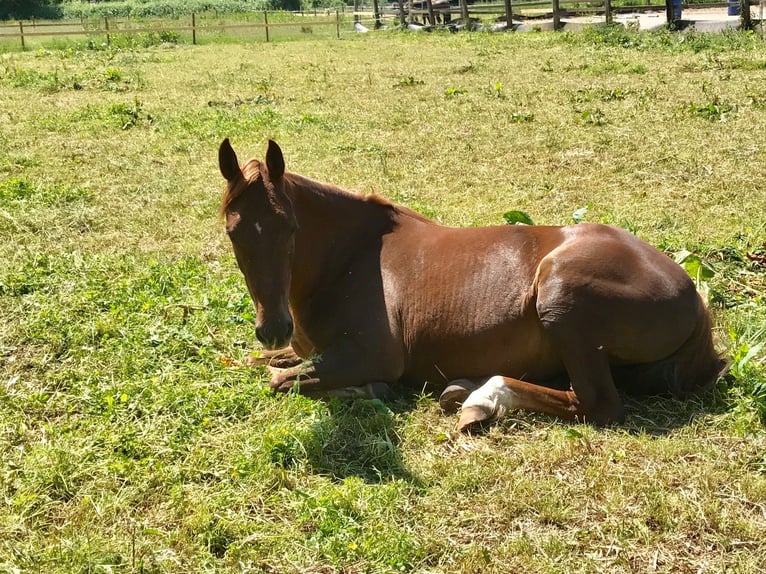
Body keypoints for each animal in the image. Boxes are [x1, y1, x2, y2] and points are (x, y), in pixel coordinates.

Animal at [218, 139, 724, 432]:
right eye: (232, 231)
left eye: (290, 228)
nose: (273, 328)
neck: (348, 258)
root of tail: (694, 301)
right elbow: (265, 364)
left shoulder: (371, 353)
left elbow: (280, 380)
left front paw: (370, 389)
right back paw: (464, 389)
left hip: (562, 298)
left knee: (595, 403)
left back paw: (482, 399)